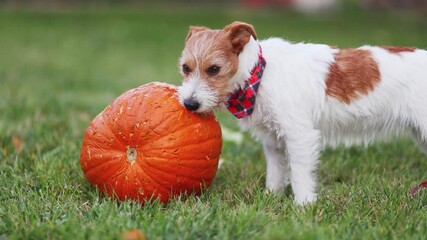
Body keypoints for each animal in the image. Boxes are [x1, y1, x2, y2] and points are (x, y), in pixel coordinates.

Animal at [177, 21, 427, 204]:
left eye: (214, 69)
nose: (189, 103)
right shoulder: (273, 142)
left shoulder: (299, 136)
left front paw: (304, 205)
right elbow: (275, 173)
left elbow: (299, 174)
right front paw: (271, 198)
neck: (258, 73)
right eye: (185, 68)